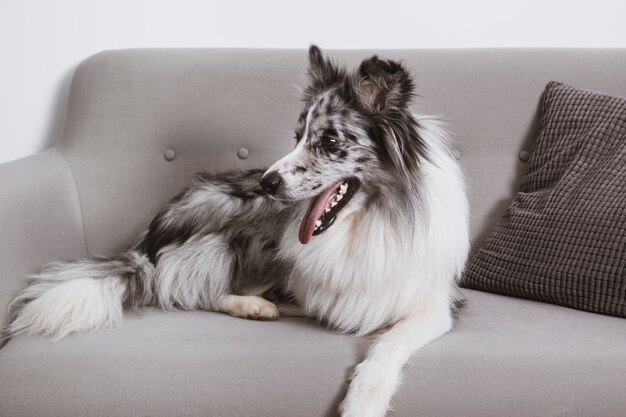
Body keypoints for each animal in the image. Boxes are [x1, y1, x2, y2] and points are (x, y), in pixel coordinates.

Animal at [6, 46, 468, 416]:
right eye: (296, 136)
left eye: (330, 141)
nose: (268, 181)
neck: (368, 222)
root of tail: (148, 240)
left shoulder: (433, 306)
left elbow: (388, 343)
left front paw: (363, 401)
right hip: (250, 230)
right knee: (189, 288)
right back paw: (255, 306)